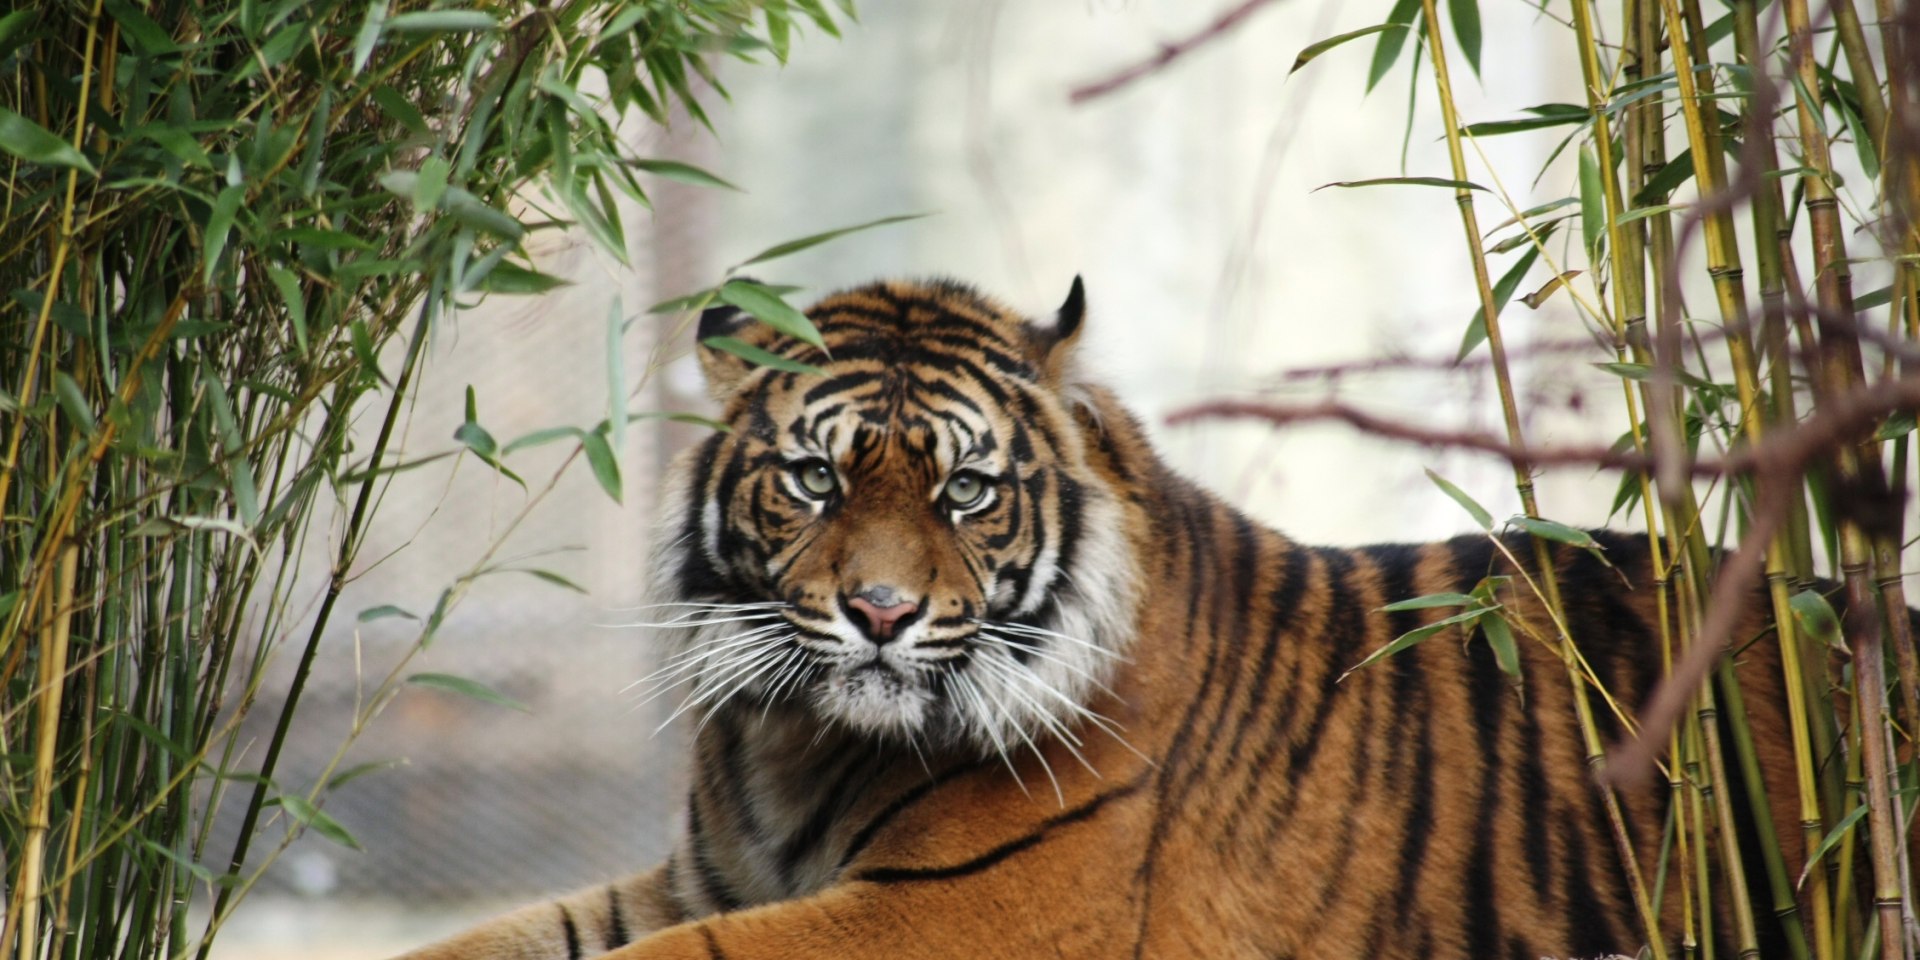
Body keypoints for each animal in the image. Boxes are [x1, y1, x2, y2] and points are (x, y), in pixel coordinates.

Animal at [393, 278, 1812, 960]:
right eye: (817, 480)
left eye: (965, 491)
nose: (879, 612)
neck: (800, 741)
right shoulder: (699, 880)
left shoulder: (949, 915)